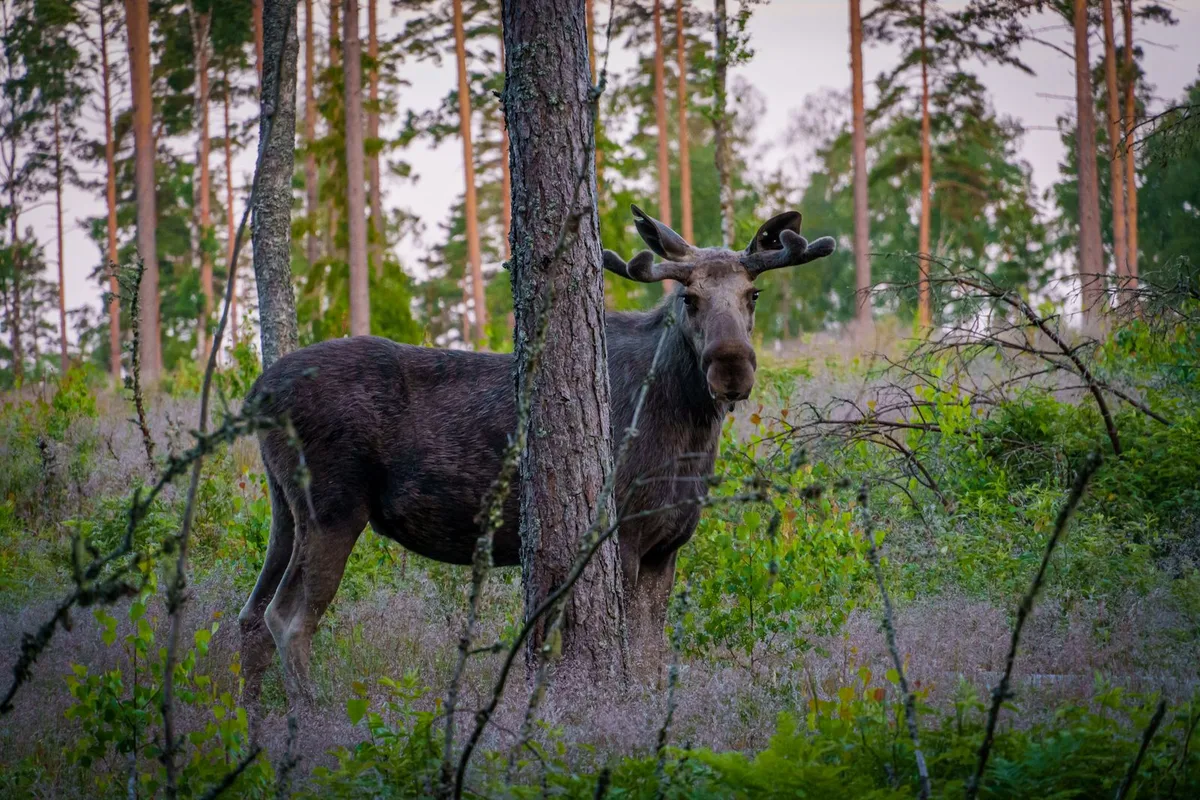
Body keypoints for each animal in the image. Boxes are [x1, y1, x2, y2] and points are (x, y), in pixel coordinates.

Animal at [238, 205, 835, 707]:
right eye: (688, 298)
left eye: (752, 294)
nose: (731, 367)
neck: (688, 438)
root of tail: (256, 393)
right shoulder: (621, 534)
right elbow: (629, 645)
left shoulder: (667, 544)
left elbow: (651, 652)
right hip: (333, 507)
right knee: (287, 618)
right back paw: (313, 717)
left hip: (285, 508)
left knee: (249, 615)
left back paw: (252, 720)